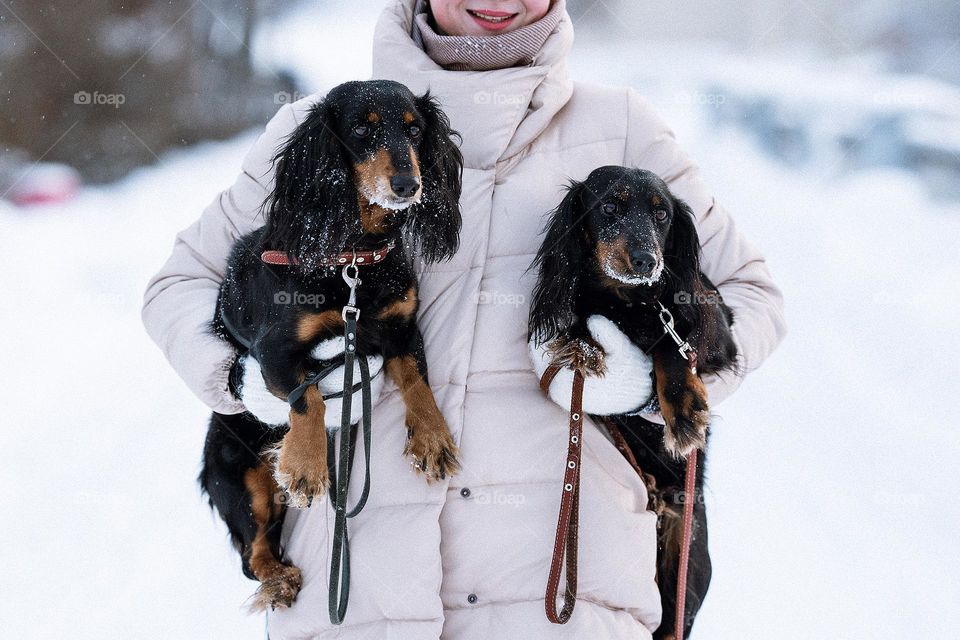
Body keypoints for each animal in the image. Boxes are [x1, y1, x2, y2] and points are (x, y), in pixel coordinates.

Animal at [199, 80, 462, 608]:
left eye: (415, 129)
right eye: (361, 128)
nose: (408, 185)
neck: (354, 261)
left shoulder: (401, 330)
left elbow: (418, 384)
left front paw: (432, 439)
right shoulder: (273, 354)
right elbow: (310, 398)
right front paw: (305, 465)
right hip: (241, 475)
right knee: (253, 555)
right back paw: (278, 579)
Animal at [528, 166, 740, 640]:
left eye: (662, 215)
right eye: (609, 206)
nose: (647, 261)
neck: (628, 302)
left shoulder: (715, 328)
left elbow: (670, 343)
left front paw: (684, 408)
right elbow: (581, 324)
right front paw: (583, 350)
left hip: (684, 569)